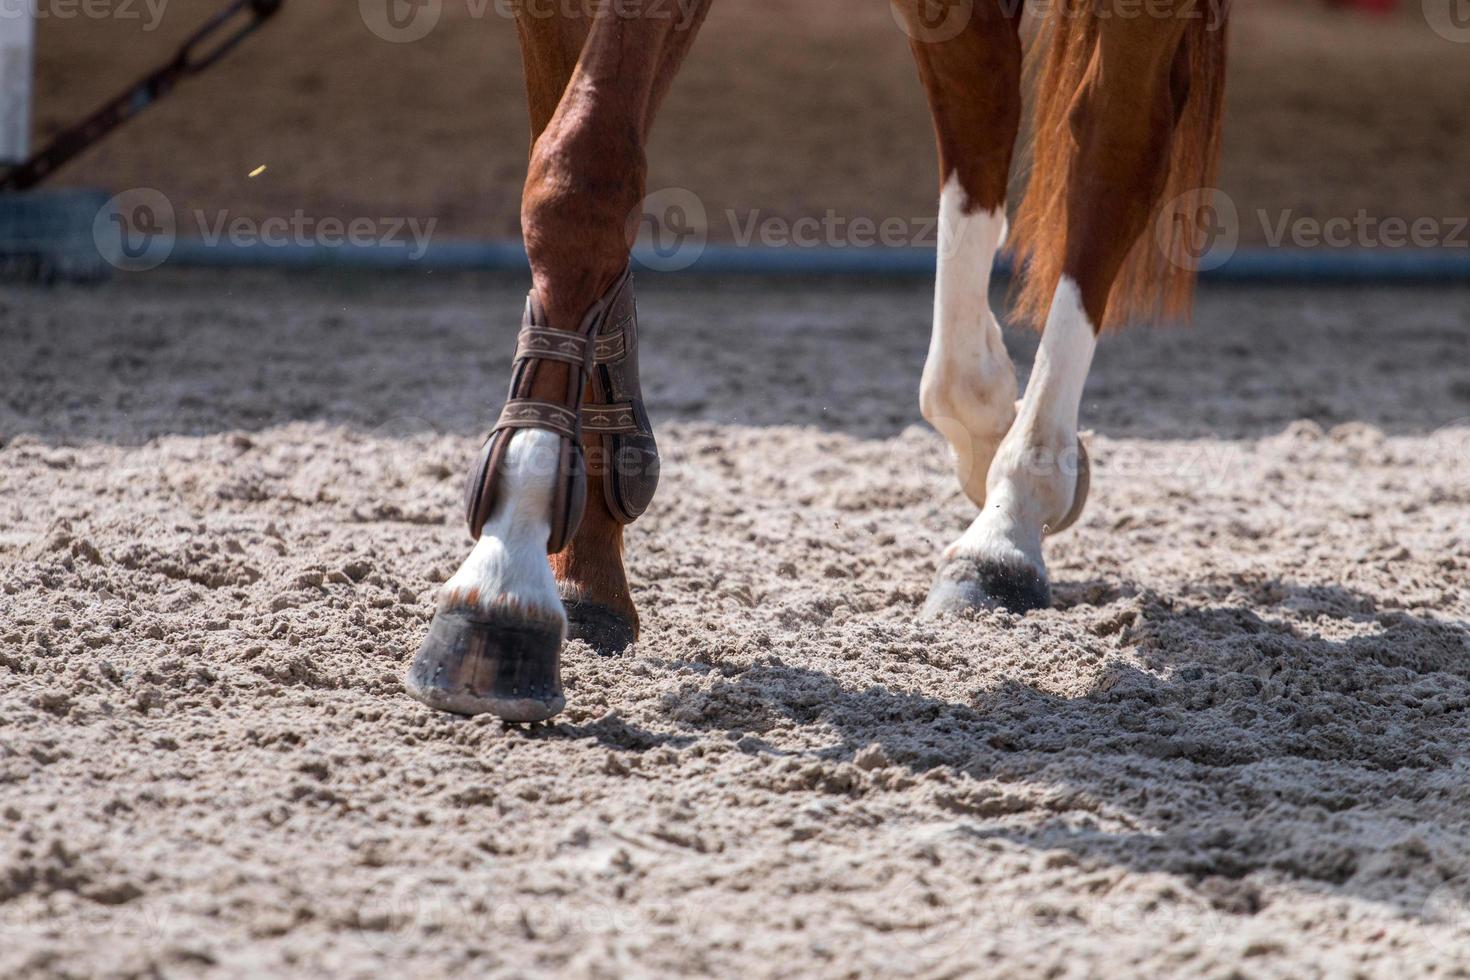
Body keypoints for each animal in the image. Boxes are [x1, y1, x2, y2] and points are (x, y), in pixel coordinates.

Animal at [399, 0, 1228, 719]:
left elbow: (583, 172)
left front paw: (505, 572)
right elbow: (569, 169)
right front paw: (583, 567)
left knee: (1115, 131)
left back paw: (1011, 522)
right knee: (982, 82)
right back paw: (994, 439)